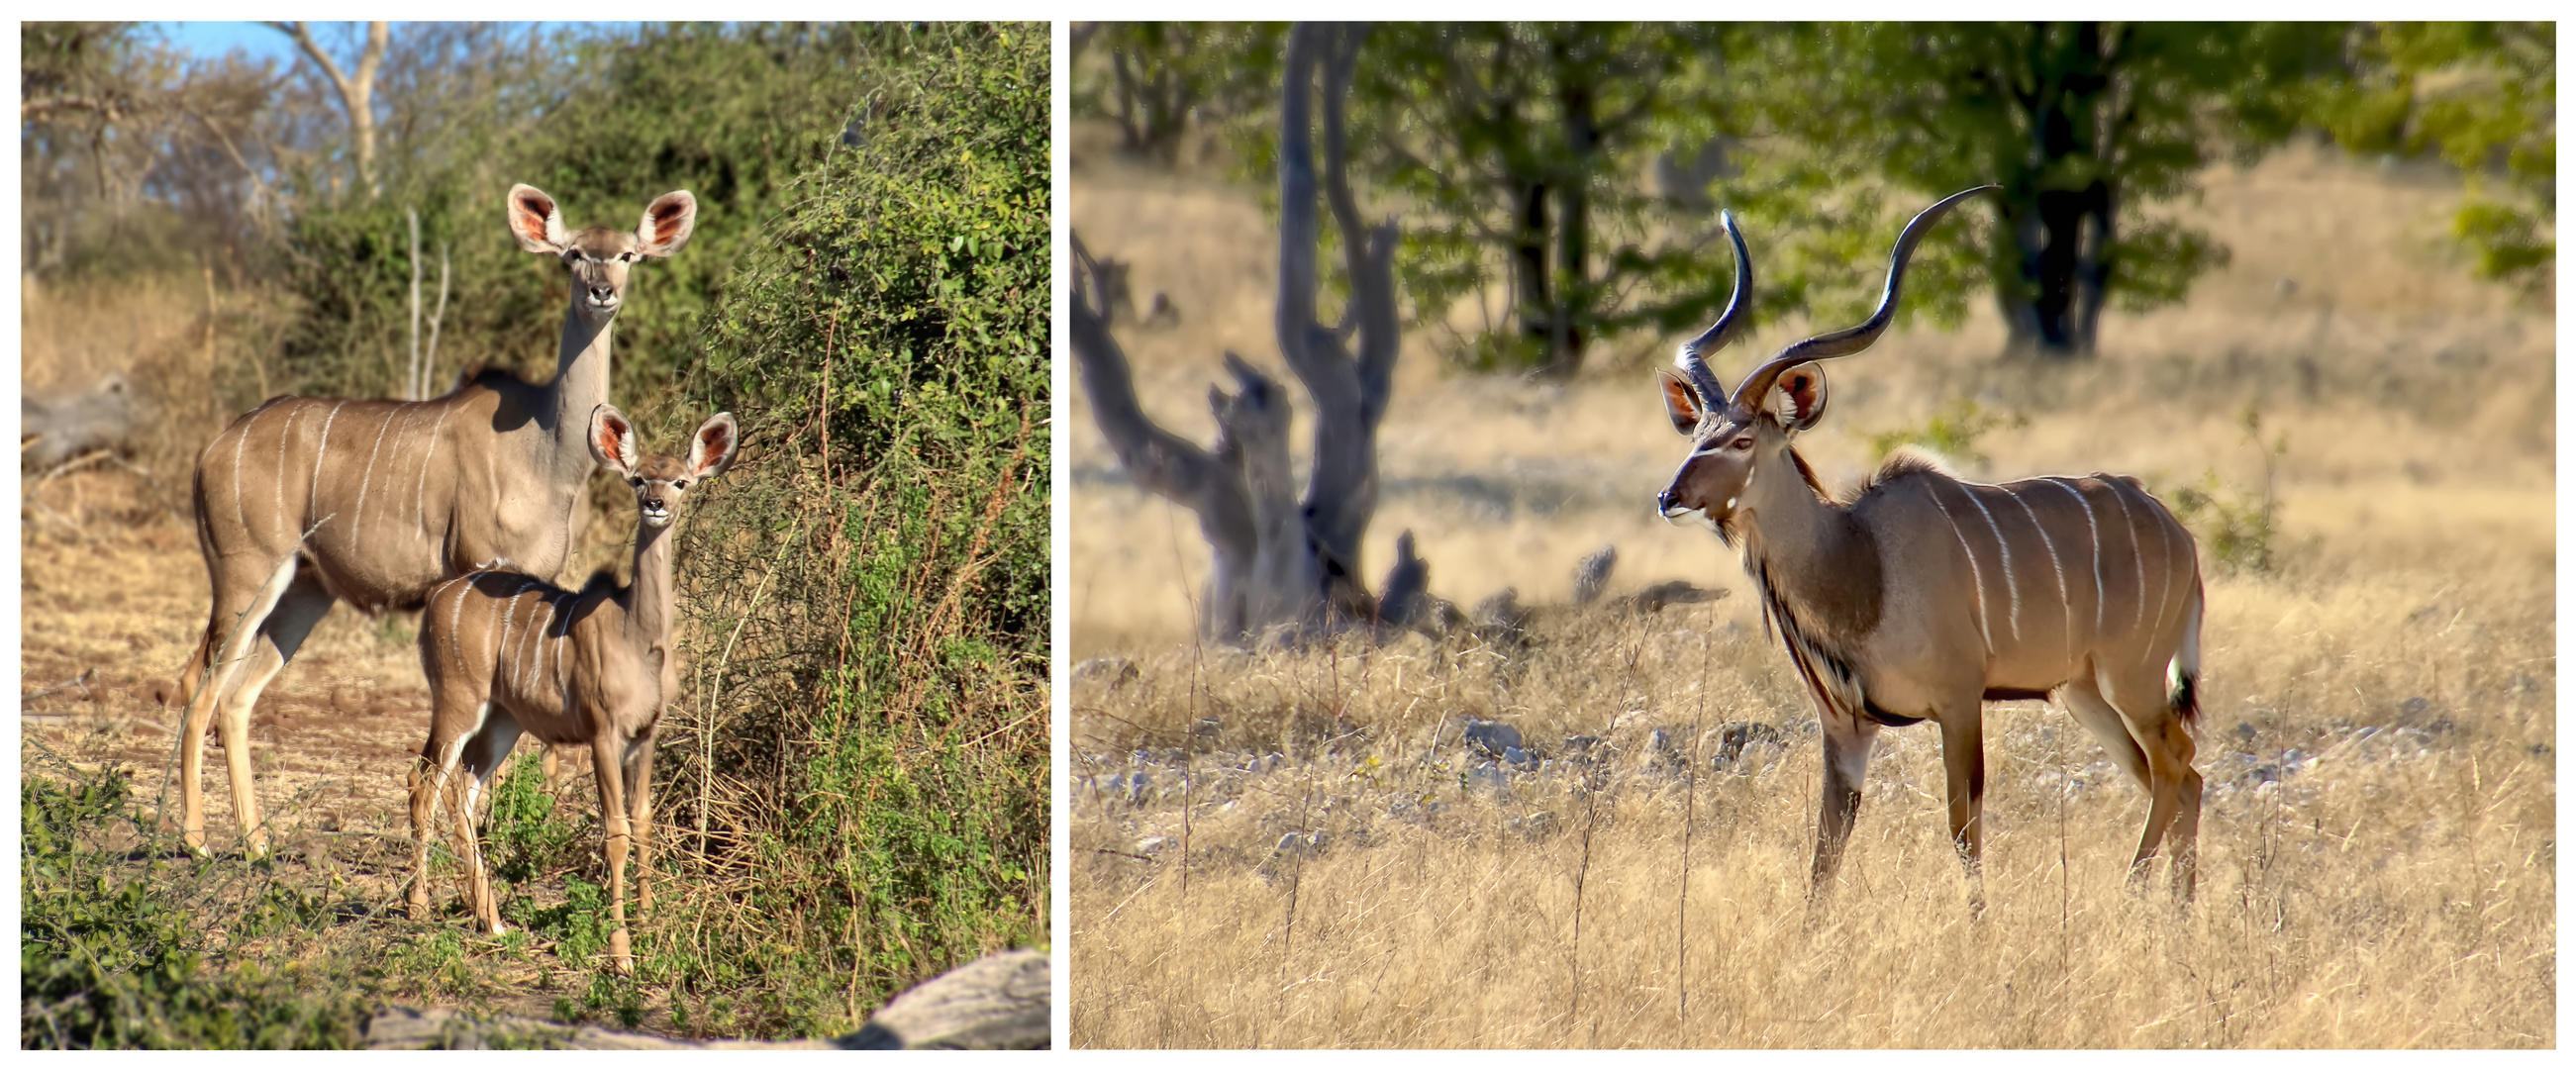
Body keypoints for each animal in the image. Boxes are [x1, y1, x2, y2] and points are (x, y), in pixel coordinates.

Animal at [172, 181, 700, 855]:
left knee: (238, 695)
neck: (544, 449)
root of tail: (212, 450)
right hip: (247, 574)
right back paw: (195, 840)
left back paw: (258, 846)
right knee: (200, 683)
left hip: (306, 588)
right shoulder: (480, 567)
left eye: (628, 255)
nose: (602, 291)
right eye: (573, 255)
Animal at [407, 407, 737, 973]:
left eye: (681, 481)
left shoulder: (645, 735)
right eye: (637, 478)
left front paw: (649, 921)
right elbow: (616, 832)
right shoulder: (603, 732)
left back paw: (492, 920)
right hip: (457, 700)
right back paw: (419, 908)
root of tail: (439, 596)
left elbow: (643, 822)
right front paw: (621, 953)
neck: (638, 639)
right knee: (425, 781)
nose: (655, 504)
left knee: (462, 792)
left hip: (503, 721)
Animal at [1658, 190, 2205, 907]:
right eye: (1697, 434)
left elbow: (1962, 826)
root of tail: (2179, 534)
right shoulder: (1845, 727)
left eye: (1744, 440)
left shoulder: (1959, 700)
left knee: (2175, 764)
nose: (1670, 497)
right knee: (2179, 776)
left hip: (2131, 678)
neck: (1859, 564)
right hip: (2084, 692)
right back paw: (2178, 909)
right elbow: (1826, 852)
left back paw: (2133, 896)